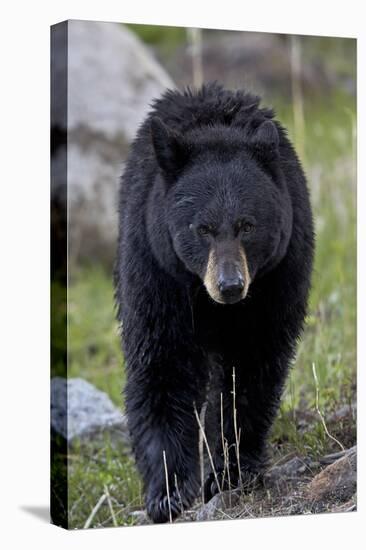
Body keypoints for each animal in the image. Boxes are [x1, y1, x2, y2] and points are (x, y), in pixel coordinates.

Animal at [114, 83, 314, 528]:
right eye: (202, 228)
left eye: (247, 225)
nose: (230, 285)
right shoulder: (156, 269)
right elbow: (163, 361)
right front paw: (168, 492)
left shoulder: (276, 277)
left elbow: (251, 367)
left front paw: (230, 471)